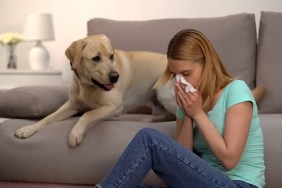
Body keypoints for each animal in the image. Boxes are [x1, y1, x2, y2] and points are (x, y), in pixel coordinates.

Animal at [14, 34, 167, 148]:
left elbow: (87, 114)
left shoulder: (115, 106)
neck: (86, 85)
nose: (115, 77)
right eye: (96, 58)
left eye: (111, 56)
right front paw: (28, 129)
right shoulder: (71, 105)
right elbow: (48, 118)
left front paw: (76, 132)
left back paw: (149, 119)